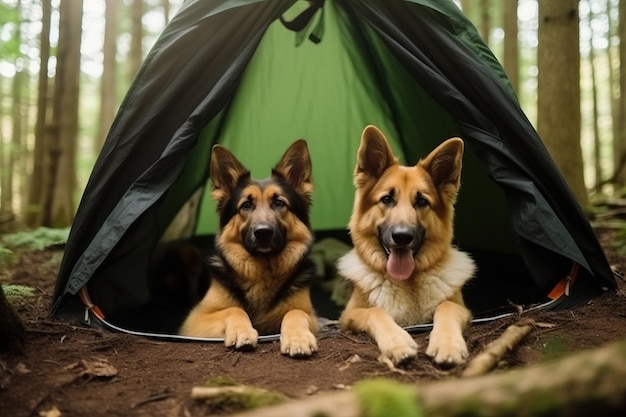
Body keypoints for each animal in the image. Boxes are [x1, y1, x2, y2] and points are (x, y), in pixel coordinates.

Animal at [179, 140, 316, 358]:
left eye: (279, 203)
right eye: (246, 205)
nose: (263, 232)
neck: (262, 270)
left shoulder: (311, 316)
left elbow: (295, 312)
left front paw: (298, 338)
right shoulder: (195, 321)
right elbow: (234, 310)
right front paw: (241, 332)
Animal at [336, 125, 472, 366]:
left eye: (422, 201)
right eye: (387, 199)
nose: (402, 237)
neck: (408, 284)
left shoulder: (462, 309)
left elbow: (446, 307)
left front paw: (448, 344)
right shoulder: (349, 316)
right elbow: (376, 312)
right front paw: (397, 343)